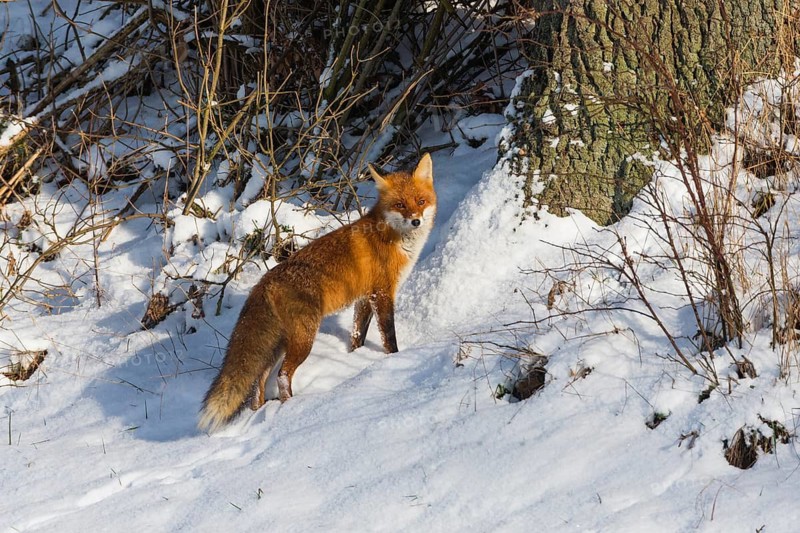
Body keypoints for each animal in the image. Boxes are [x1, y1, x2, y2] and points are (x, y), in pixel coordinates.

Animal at [198, 154, 436, 432]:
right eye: (400, 205)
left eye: (420, 201)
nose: (416, 220)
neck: (391, 236)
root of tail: (264, 282)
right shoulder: (382, 294)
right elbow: (389, 337)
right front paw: (395, 359)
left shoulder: (364, 299)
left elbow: (357, 336)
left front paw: (357, 359)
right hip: (304, 338)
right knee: (282, 376)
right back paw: (291, 409)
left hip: (279, 344)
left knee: (259, 380)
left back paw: (259, 413)